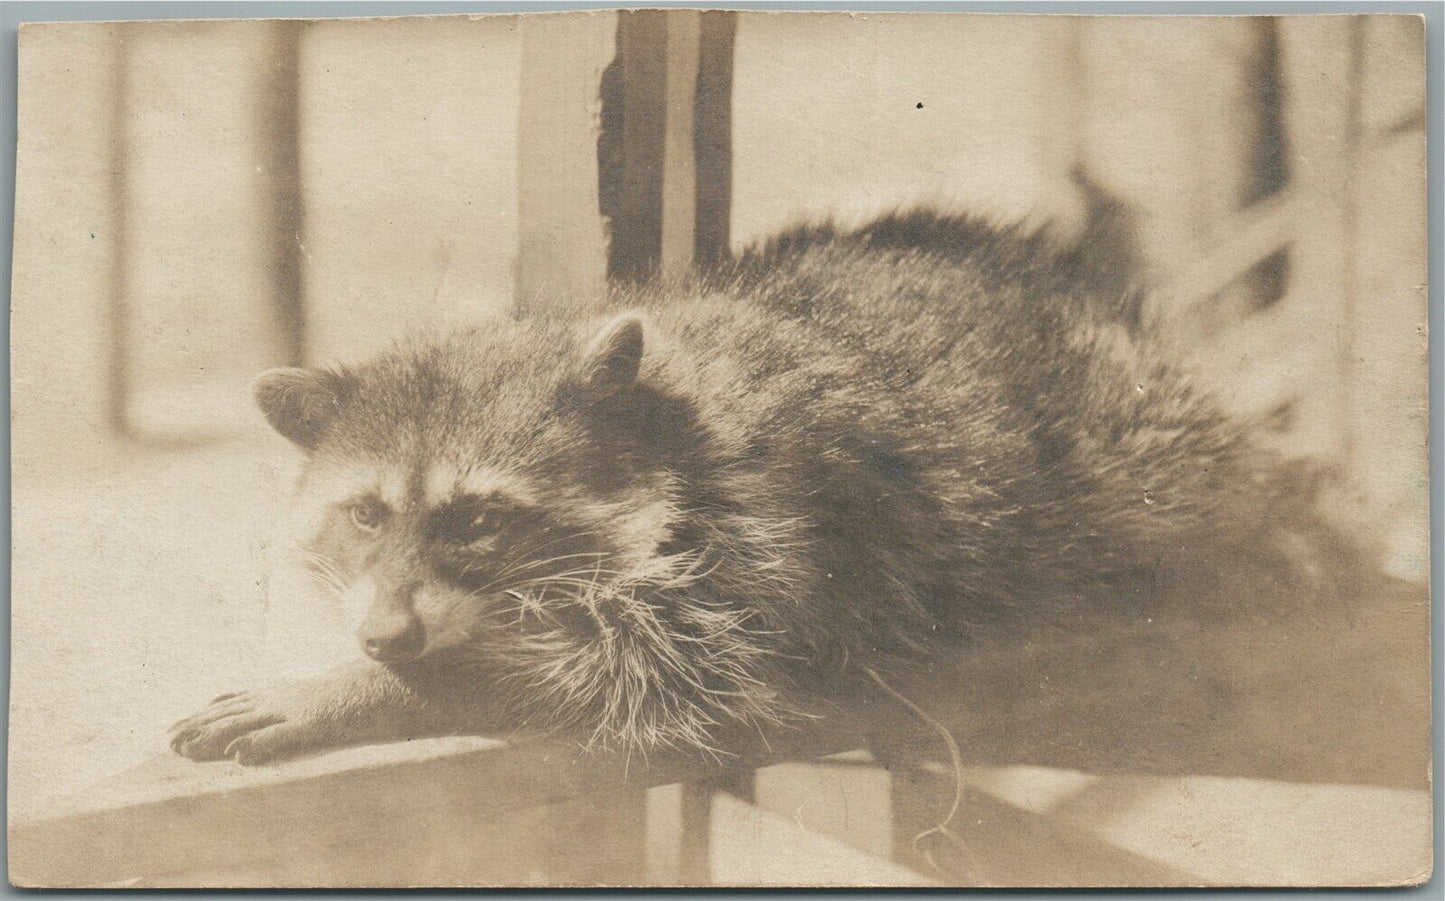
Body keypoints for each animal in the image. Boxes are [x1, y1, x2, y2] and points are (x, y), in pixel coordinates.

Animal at [166, 212, 1329, 768]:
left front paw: (365, 690)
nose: (382, 639)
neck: (663, 413)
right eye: (365, 514)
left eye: (480, 519)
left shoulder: (775, 542)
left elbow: (648, 684)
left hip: (1152, 447)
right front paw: (365, 669)